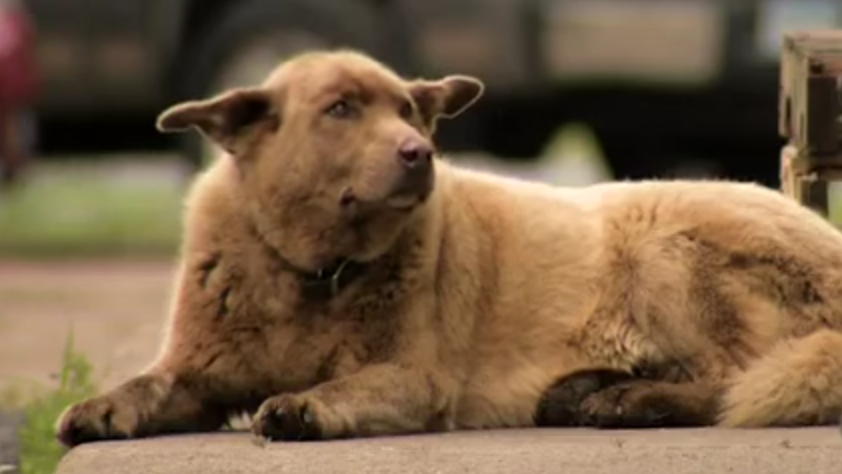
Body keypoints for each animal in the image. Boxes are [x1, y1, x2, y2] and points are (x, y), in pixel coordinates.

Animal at [57, 50, 840, 446]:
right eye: (340, 109)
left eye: (406, 109)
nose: (419, 152)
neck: (310, 273)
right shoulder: (198, 373)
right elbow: (150, 387)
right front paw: (100, 408)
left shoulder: (412, 376)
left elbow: (340, 389)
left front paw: (304, 407)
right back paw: (587, 392)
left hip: (666, 251)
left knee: (737, 378)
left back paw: (631, 401)